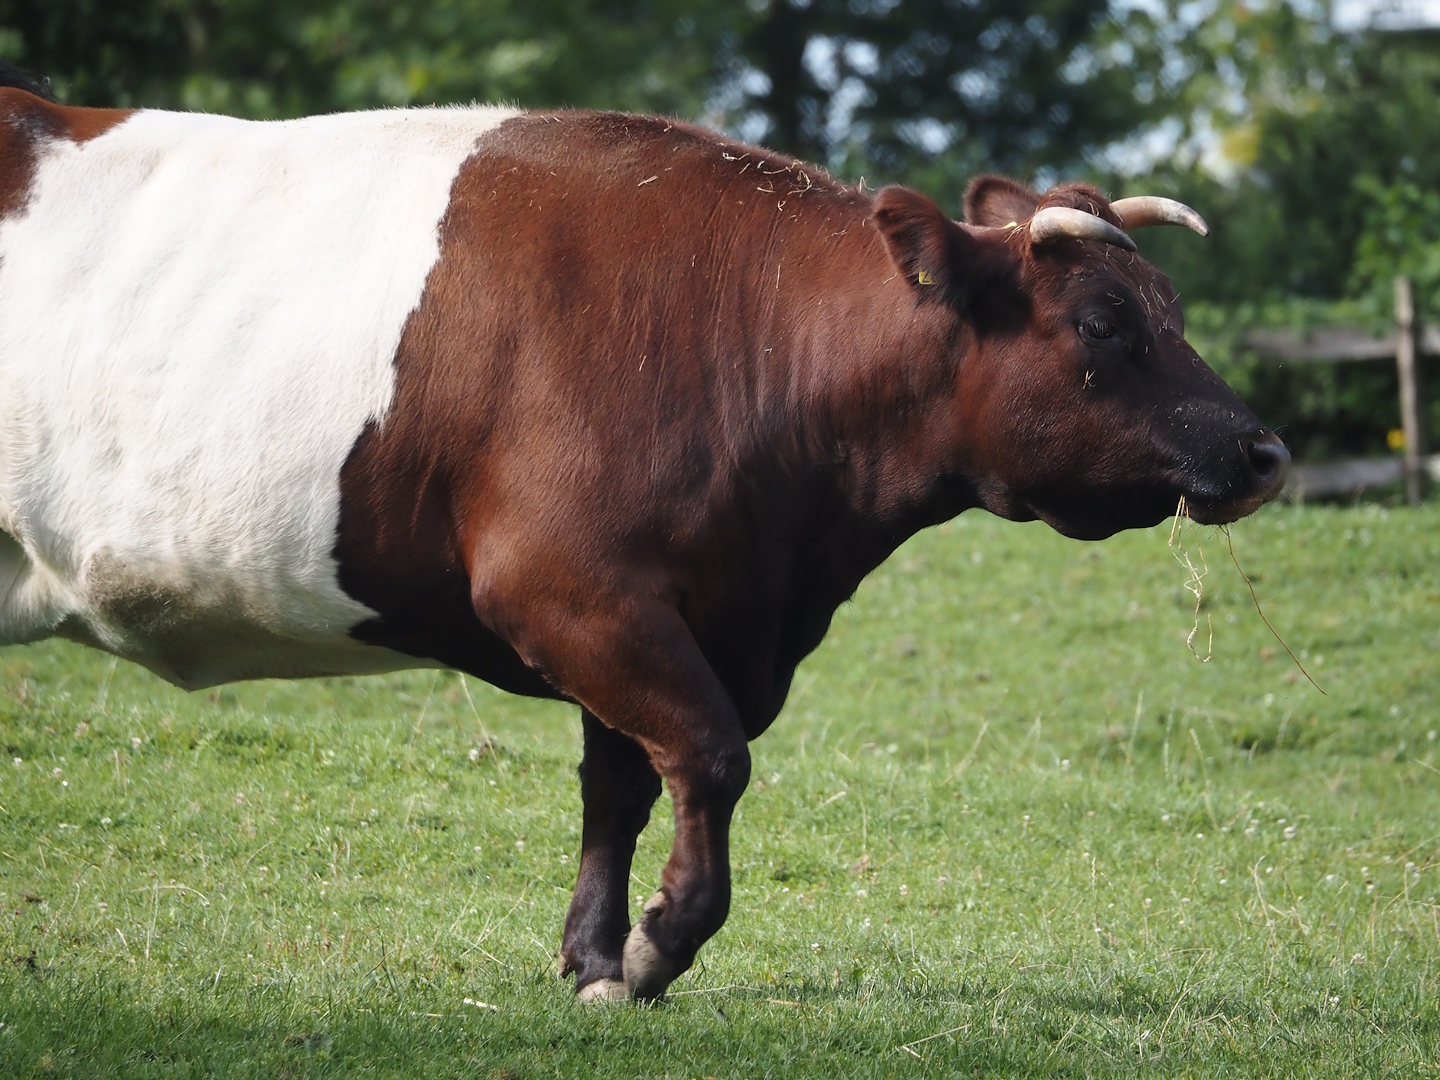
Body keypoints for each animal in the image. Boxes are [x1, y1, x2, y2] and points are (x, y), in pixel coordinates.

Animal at [0, 66, 1287, 1002]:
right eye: (1105, 321)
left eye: (1168, 307)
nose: (1264, 450)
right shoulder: (568, 590)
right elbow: (709, 757)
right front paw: (663, 942)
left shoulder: (681, 612)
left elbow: (619, 784)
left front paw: (596, 957)